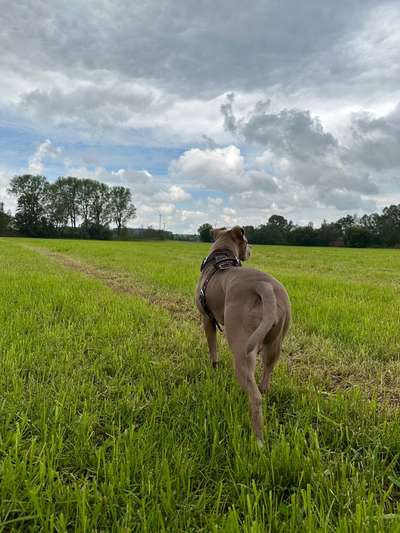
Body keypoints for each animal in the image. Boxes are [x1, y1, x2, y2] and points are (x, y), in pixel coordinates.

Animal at [196, 225, 290, 444]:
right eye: (247, 242)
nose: (252, 248)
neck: (221, 256)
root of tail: (264, 287)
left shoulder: (207, 320)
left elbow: (213, 350)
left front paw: (214, 368)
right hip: (274, 343)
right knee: (264, 380)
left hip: (241, 349)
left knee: (255, 397)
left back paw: (258, 440)